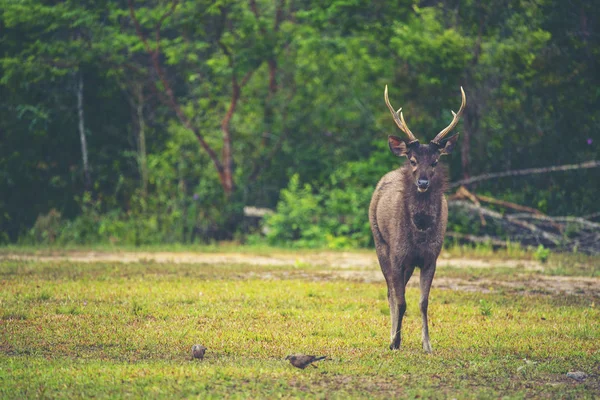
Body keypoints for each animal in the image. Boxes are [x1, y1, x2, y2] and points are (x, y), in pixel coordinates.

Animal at [368, 85, 466, 354]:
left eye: (435, 161)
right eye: (412, 160)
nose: (422, 182)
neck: (420, 230)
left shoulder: (430, 258)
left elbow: (423, 302)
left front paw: (427, 344)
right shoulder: (397, 255)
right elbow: (401, 301)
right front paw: (395, 342)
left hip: (409, 263)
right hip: (380, 243)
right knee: (390, 291)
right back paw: (392, 336)